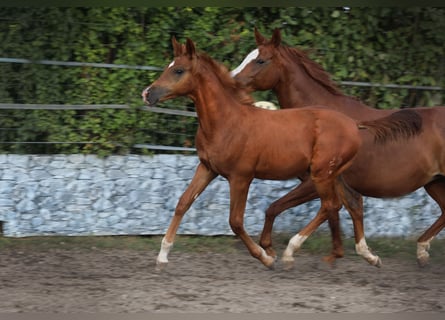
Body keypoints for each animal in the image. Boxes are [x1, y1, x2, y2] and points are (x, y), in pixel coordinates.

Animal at [141, 36, 420, 268]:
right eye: (168, 66)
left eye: (178, 70)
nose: (147, 93)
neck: (226, 121)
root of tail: (354, 124)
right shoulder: (207, 168)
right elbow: (182, 203)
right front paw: (163, 255)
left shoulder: (241, 177)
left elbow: (235, 221)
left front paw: (266, 257)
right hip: (333, 175)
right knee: (347, 202)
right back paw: (362, 255)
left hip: (320, 175)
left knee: (331, 205)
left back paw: (291, 251)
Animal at [231, 28, 444, 268]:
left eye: (260, 60)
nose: (231, 81)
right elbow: (345, 208)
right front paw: (355, 253)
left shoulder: (314, 182)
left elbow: (282, 207)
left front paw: (281, 250)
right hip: (435, 182)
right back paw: (422, 250)